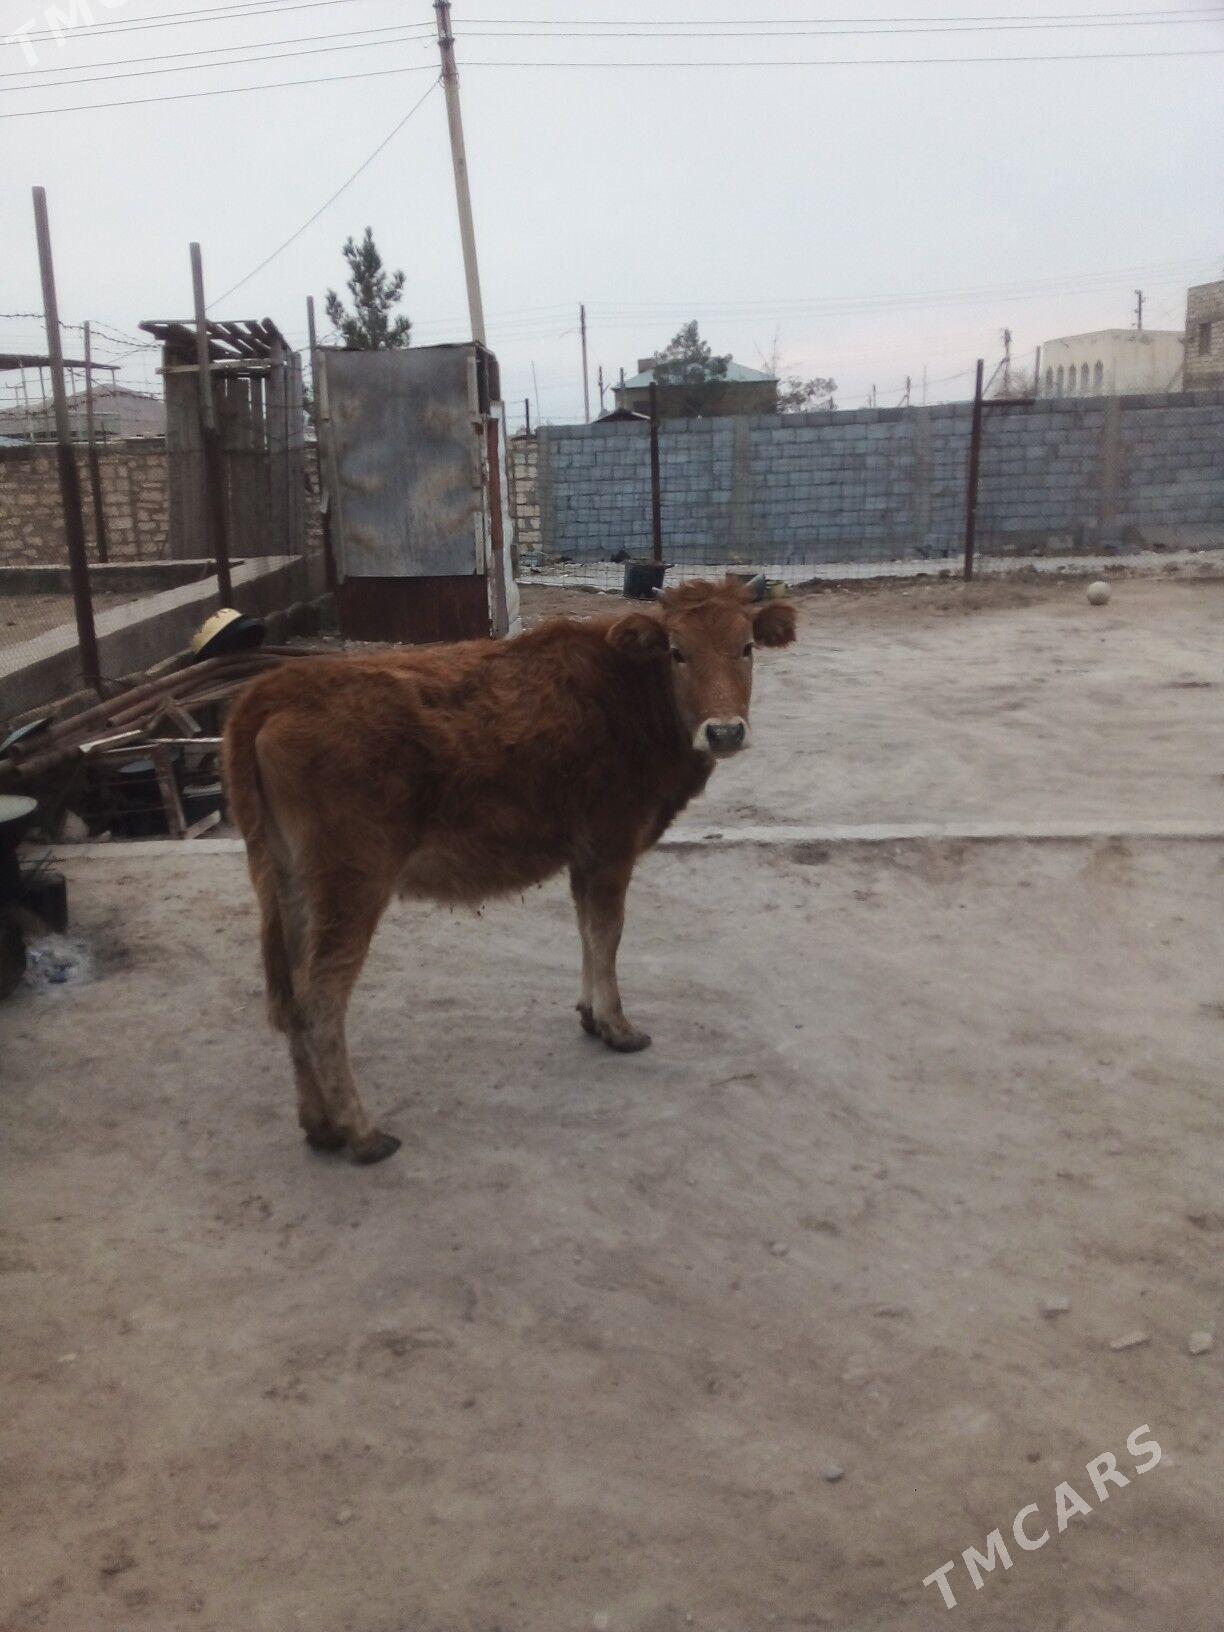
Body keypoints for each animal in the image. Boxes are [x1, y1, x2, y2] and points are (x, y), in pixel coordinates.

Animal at [223, 577, 797, 1163]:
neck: (628, 694)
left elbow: (586, 931)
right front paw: (617, 1026)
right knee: (320, 995)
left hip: (286, 880)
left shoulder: (584, 855)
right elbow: (607, 932)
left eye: (747, 647)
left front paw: (590, 1014)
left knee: (287, 994)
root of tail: (280, 686)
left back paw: (319, 1126)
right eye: (677, 652)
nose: (724, 732)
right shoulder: (612, 845)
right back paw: (361, 1132)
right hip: (351, 880)